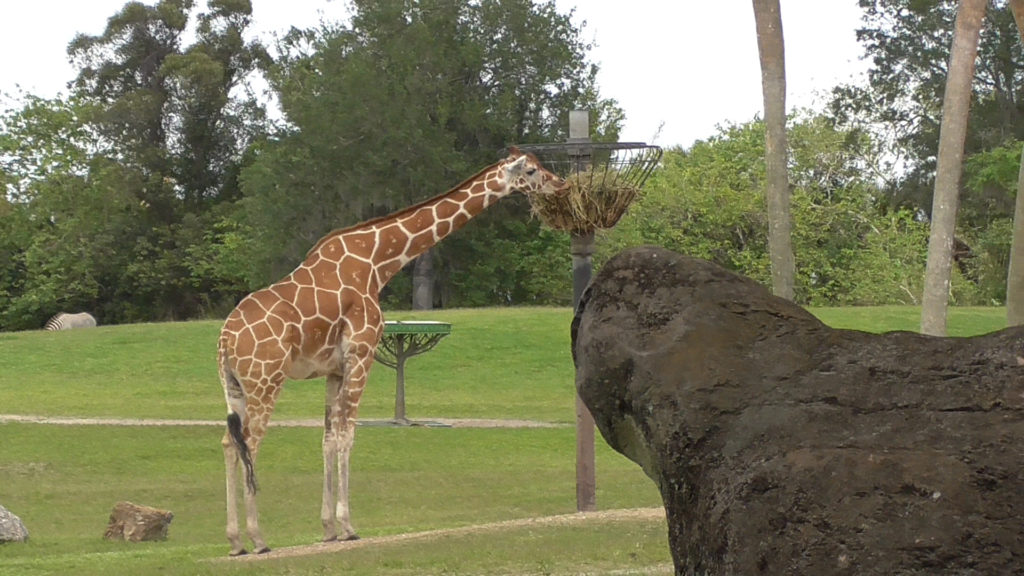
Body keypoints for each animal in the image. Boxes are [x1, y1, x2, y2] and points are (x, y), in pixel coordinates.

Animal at [217, 145, 569, 553]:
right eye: (531, 170)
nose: (561, 184)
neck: (378, 262)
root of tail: (224, 339)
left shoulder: (334, 369)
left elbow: (327, 439)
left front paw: (328, 528)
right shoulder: (362, 354)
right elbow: (347, 435)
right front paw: (348, 526)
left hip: (234, 386)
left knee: (230, 442)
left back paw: (235, 540)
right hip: (266, 381)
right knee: (251, 444)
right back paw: (258, 539)